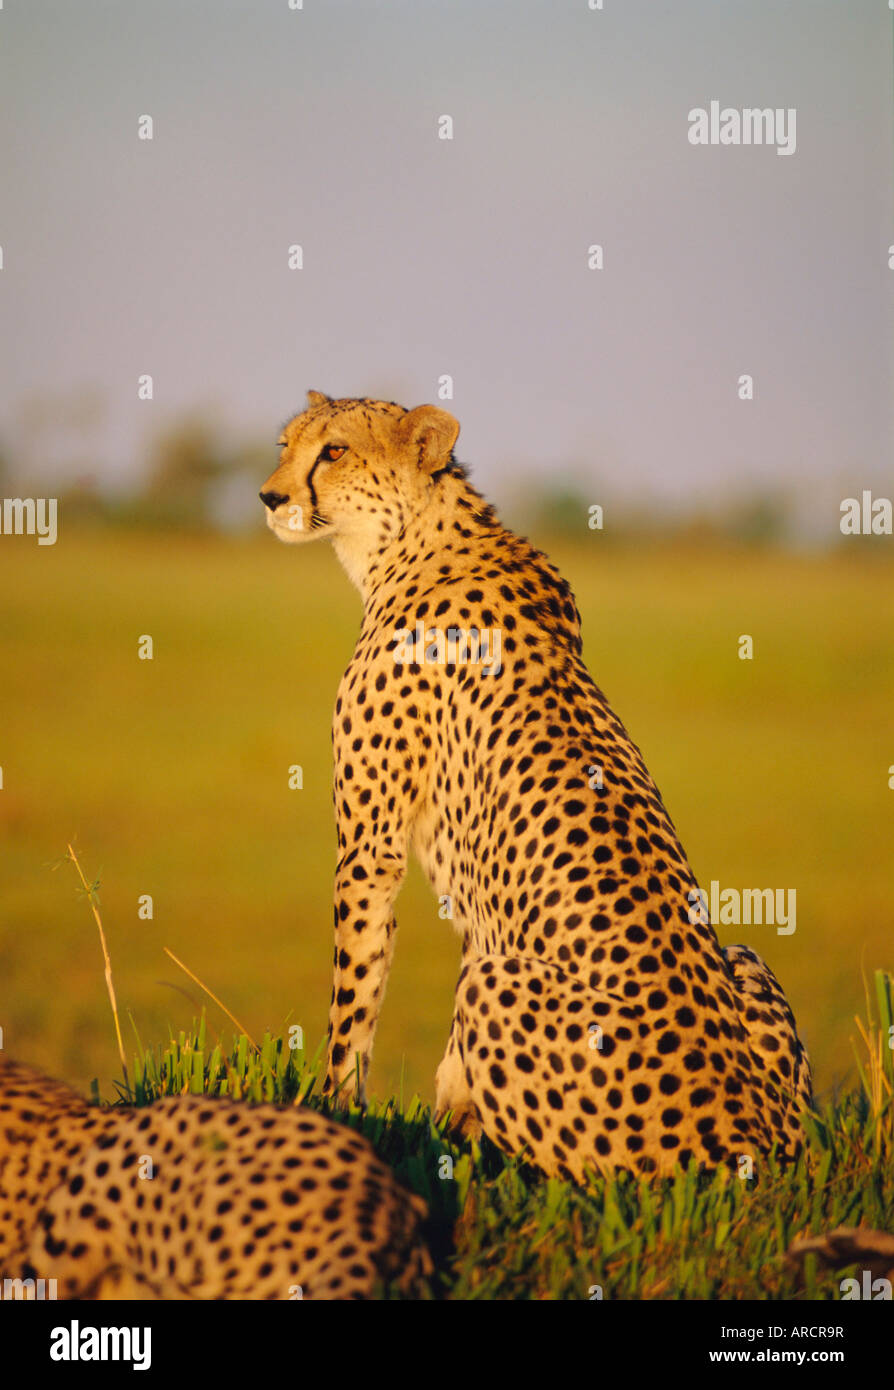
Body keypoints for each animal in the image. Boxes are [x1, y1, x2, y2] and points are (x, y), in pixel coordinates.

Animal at [258, 394, 811, 1184]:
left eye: (333, 451)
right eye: (286, 446)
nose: (270, 497)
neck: (414, 541)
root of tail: (756, 1138)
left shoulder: (370, 848)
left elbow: (353, 994)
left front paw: (339, 1111)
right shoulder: (472, 904)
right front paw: (443, 1120)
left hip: (510, 989)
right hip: (742, 961)